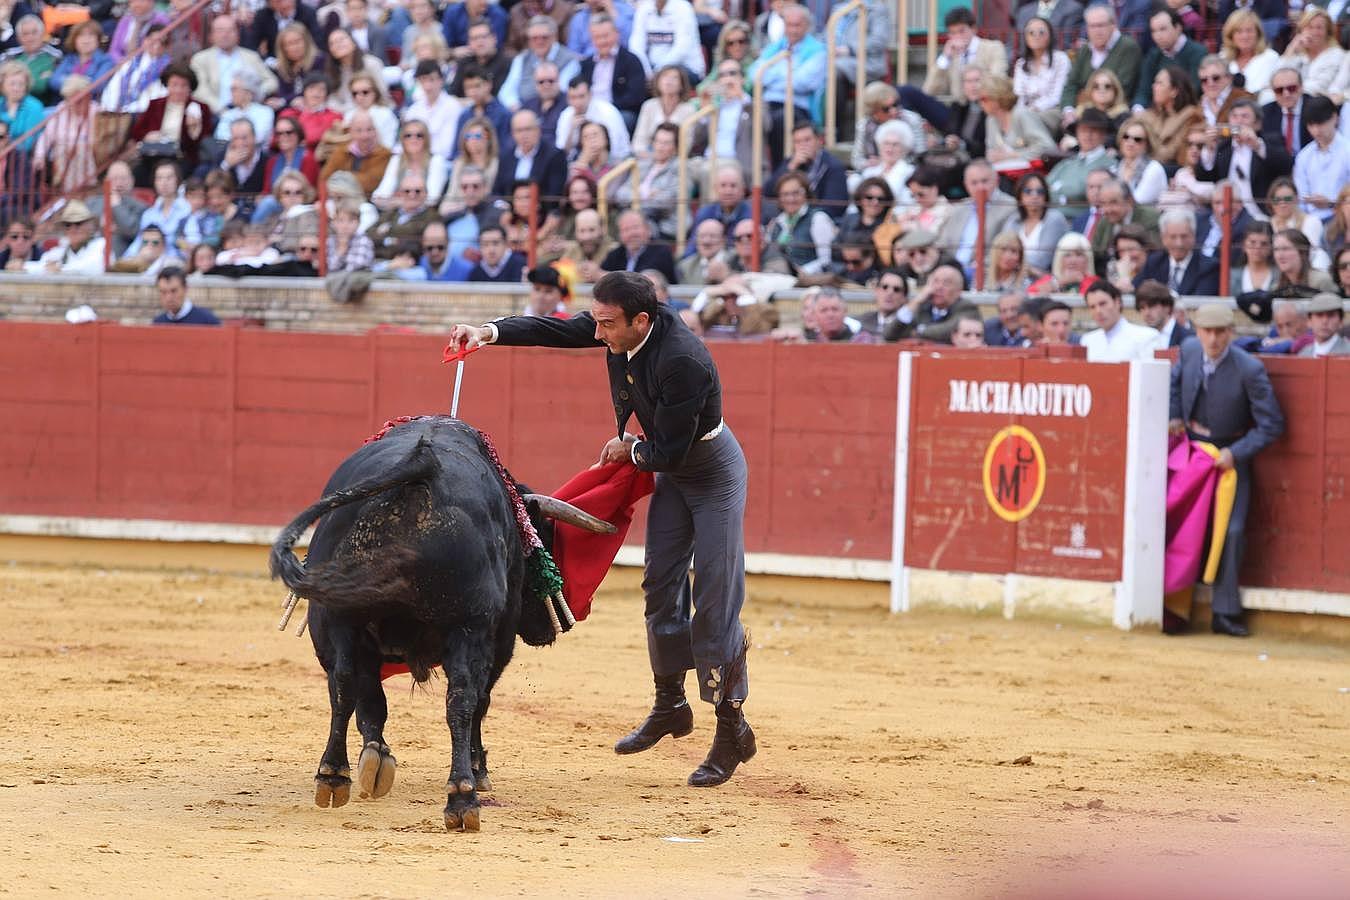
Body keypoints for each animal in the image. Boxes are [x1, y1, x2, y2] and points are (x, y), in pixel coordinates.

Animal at [268, 418, 618, 836]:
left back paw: (334, 775)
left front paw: (375, 759)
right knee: (463, 698)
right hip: (470, 626)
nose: (554, 626)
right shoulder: (497, 641)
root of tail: (423, 467)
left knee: (344, 684)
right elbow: (479, 702)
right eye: (544, 536)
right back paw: (463, 798)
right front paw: (478, 770)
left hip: (335, 616)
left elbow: (370, 701)